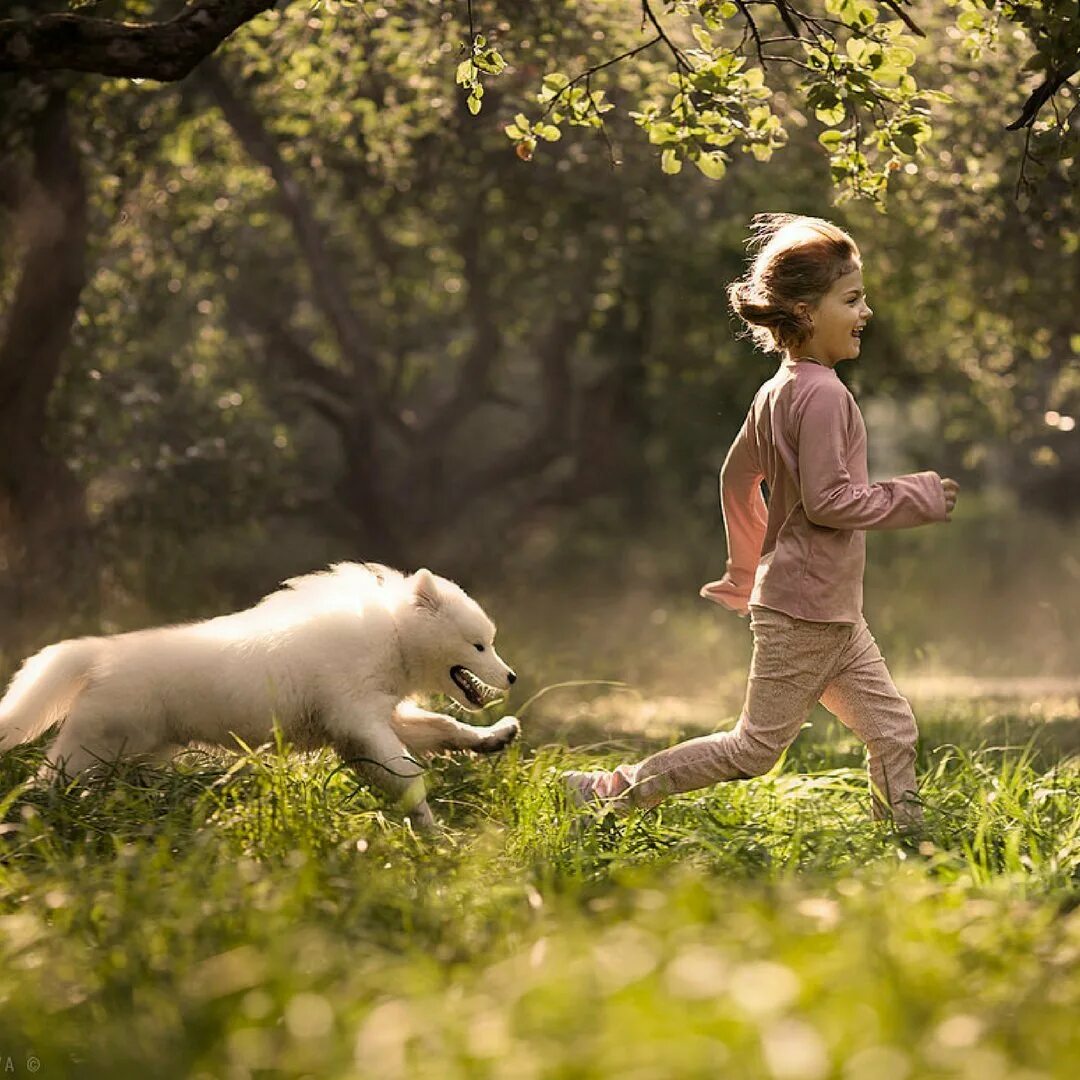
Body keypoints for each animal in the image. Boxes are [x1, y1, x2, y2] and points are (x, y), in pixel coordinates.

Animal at [0, 565, 518, 825]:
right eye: (479, 646)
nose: (512, 677)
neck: (392, 635)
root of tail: (100, 655)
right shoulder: (358, 720)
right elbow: (407, 773)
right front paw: (431, 830)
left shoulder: (373, 719)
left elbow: (443, 727)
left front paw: (494, 737)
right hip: (90, 749)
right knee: (42, 783)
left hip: (135, 757)